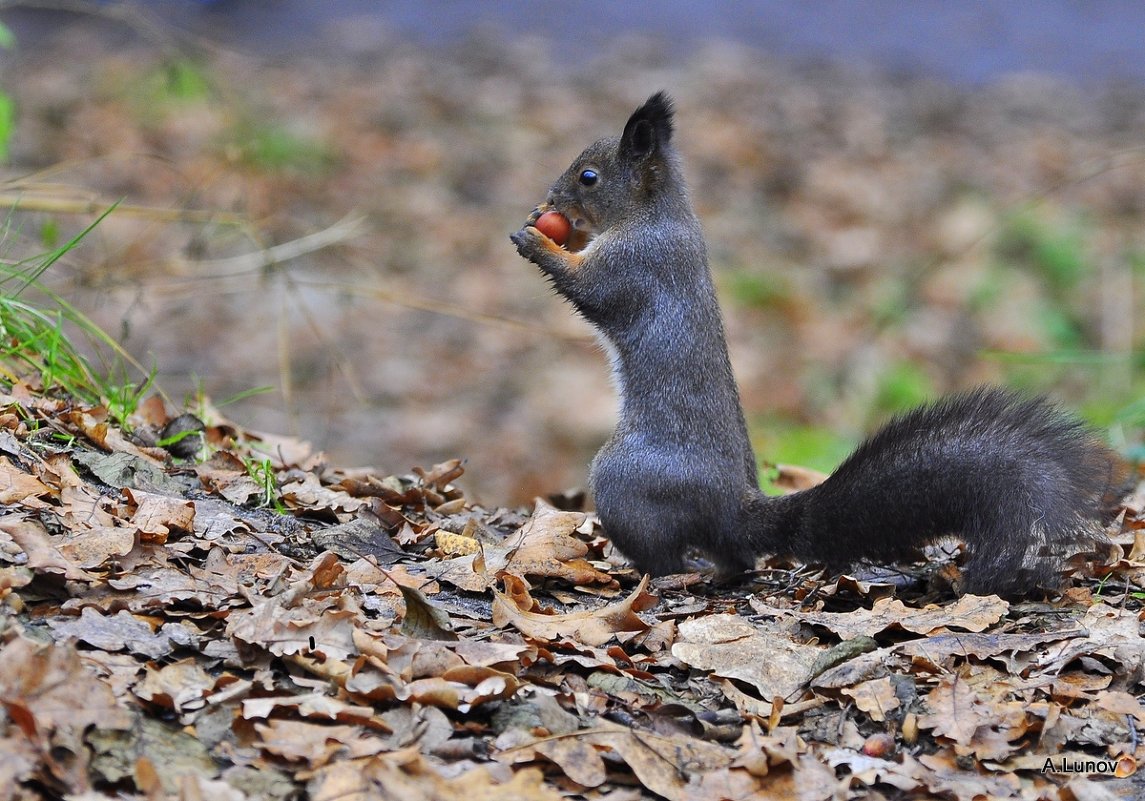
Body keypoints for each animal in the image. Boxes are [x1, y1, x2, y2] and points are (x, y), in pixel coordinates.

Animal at [512, 92, 1117, 595]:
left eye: (589, 176)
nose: (549, 199)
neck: (655, 214)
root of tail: (734, 508)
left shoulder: (638, 264)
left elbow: (593, 290)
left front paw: (537, 239)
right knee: (738, 560)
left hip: (627, 481)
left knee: (670, 555)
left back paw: (664, 576)